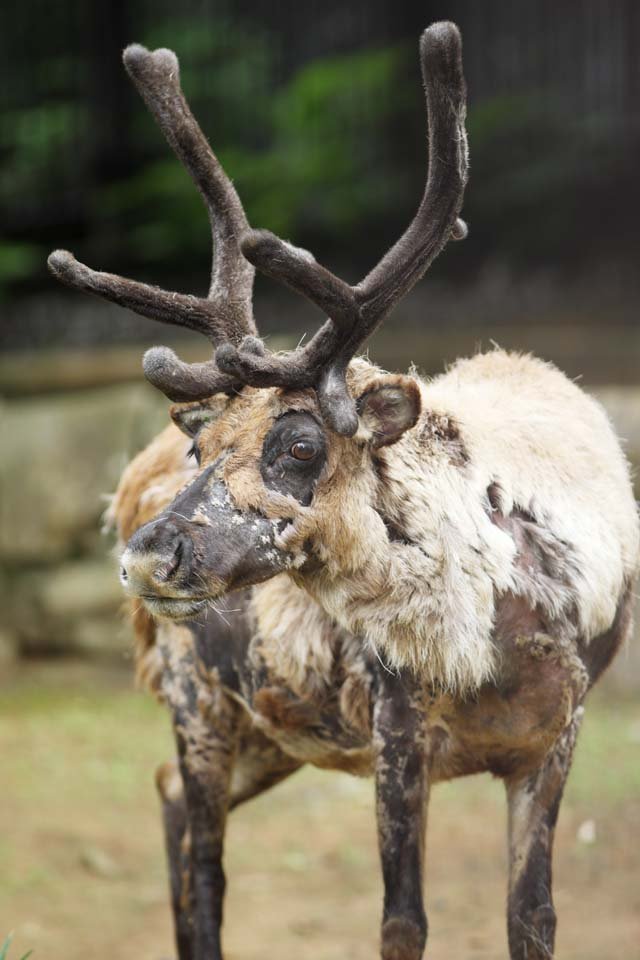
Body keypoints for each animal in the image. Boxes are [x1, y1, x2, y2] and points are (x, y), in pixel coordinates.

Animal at [47, 22, 639, 960]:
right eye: (206, 443)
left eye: (301, 442)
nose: (147, 557)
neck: (496, 632)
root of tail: (129, 481)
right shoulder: (398, 728)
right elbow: (402, 921)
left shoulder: (559, 732)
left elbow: (535, 916)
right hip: (198, 696)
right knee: (203, 851)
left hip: (274, 726)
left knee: (170, 799)